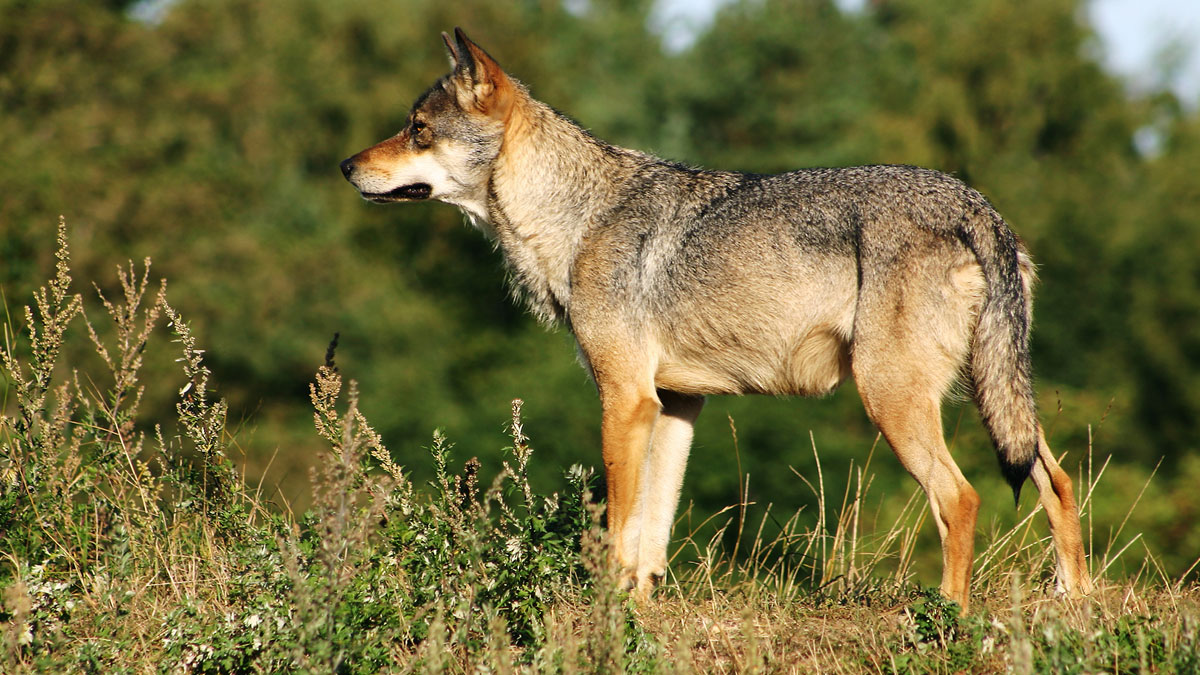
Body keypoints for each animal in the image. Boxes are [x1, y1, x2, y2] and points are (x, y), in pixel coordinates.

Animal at [338, 27, 1089, 610]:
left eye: (417, 131)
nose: (345, 165)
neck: (574, 218)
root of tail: (978, 208)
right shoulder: (675, 405)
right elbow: (652, 533)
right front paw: (639, 610)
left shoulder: (626, 400)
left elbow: (620, 526)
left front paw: (607, 612)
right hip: (991, 398)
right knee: (1057, 479)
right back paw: (1074, 601)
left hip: (893, 400)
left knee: (961, 499)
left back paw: (948, 617)